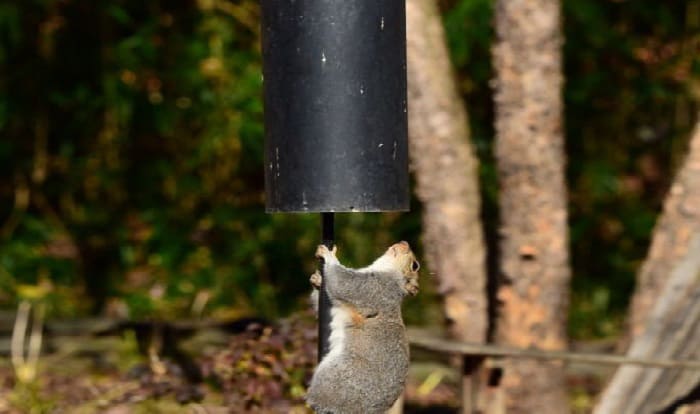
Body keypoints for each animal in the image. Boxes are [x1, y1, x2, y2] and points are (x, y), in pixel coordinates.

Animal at [304, 241, 416, 412]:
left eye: (415, 265)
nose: (405, 242)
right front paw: (317, 280)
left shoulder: (375, 287)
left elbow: (343, 282)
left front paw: (330, 255)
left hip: (337, 379)